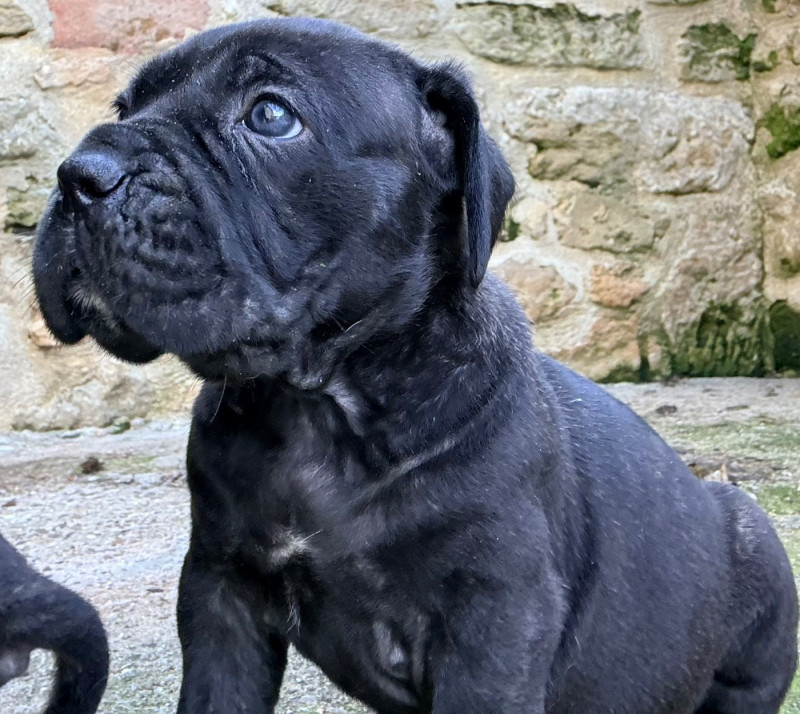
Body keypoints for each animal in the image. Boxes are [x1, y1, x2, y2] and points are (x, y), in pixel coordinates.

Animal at [32, 18, 798, 713]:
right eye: (124, 109)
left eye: (270, 115)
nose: (77, 175)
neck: (319, 404)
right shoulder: (221, 592)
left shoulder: (494, 625)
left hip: (756, 558)